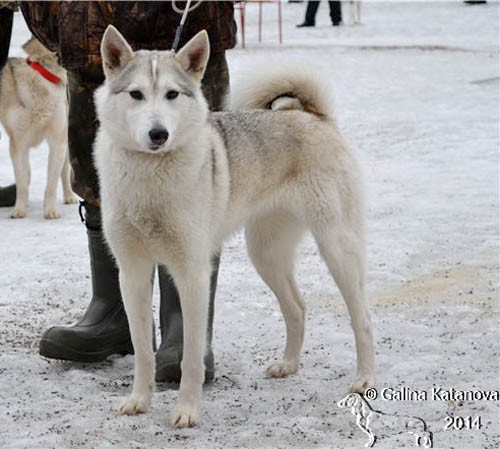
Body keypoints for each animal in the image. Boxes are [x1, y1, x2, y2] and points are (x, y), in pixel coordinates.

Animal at [0, 37, 76, 218]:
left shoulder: (58, 142)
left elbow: (52, 183)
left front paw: (51, 211)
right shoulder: (18, 144)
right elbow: (22, 182)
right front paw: (19, 210)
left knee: (65, 171)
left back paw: (69, 196)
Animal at [94, 25, 375, 428]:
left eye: (172, 94)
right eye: (136, 94)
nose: (158, 133)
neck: (150, 176)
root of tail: (313, 116)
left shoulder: (193, 273)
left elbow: (192, 356)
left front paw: (187, 410)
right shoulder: (132, 272)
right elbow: (142, 350)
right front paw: (139, 401)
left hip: (338, 249)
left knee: (362, 318)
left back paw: (364, 378)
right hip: (266, 254)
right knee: (297, 307)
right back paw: (288, 364)